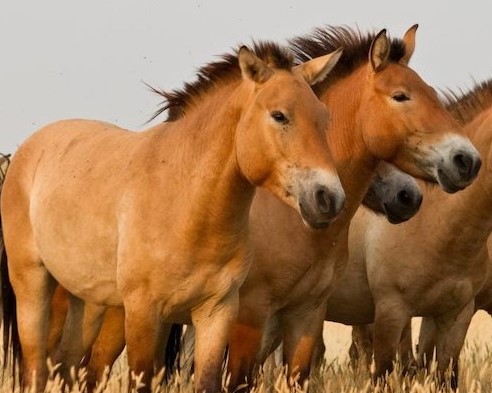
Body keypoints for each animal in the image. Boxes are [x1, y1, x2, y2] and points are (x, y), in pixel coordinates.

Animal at [0, 40, 346, 392]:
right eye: (279, 115)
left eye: (324, 118)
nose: (329, 198)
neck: (187, 205)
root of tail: (28, 150)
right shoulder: (143, 313)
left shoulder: (217, 312)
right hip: (33, 287)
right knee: (36, 367)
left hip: (85, 301)